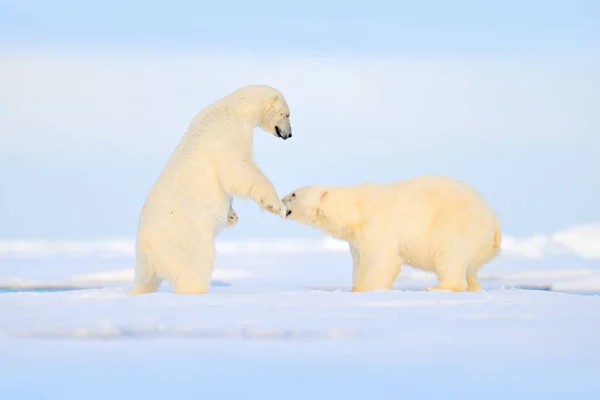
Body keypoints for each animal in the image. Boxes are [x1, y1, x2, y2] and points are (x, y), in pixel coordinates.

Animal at [129, 84, 292, 296]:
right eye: (287, 114)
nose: (289, 134)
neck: (234, 107)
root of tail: (145, 243)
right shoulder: (228, 134)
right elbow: (238, 170)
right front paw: (278, 206)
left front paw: (232, 216)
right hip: (185, 239)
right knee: (195, 267)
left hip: (145, 262)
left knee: (145, 281)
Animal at [282, 174, 502, 290]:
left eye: (293, 194)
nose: (282, 200)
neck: (355, 210)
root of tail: (495, 225)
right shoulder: (356, 240)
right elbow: (359, 261)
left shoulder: (377, 225)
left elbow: (381, 261)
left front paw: (361, 289)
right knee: (470, 270)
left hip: (457, 227)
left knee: (450, 258)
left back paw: (436, 287)